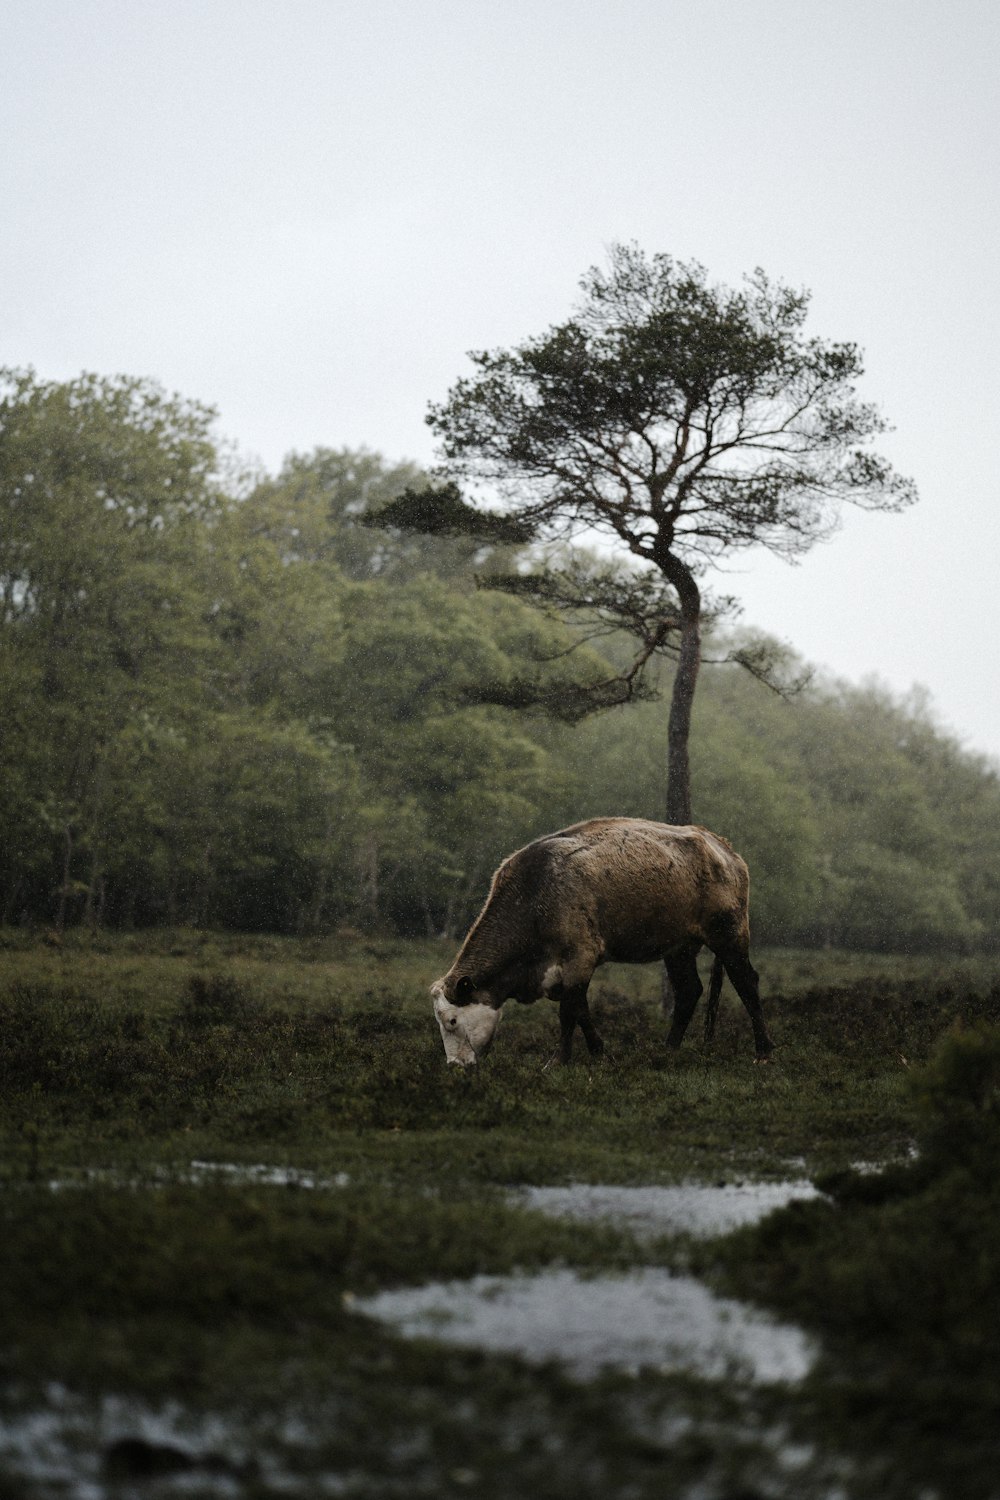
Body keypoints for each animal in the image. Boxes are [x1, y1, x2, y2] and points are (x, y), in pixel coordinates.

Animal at [431, 822, 773, 1068]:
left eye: (452, 1021)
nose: (454, 1065)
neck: (536, 894)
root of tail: (723, 848)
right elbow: (580, 1009)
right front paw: (599, 1053)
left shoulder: (580, 956)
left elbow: (570, 1010)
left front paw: (559, 1061)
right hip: (679, 947)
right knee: (689, 990)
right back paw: (668, 1050)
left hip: (729, 933)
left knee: (746, 982)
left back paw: (764, 1051)